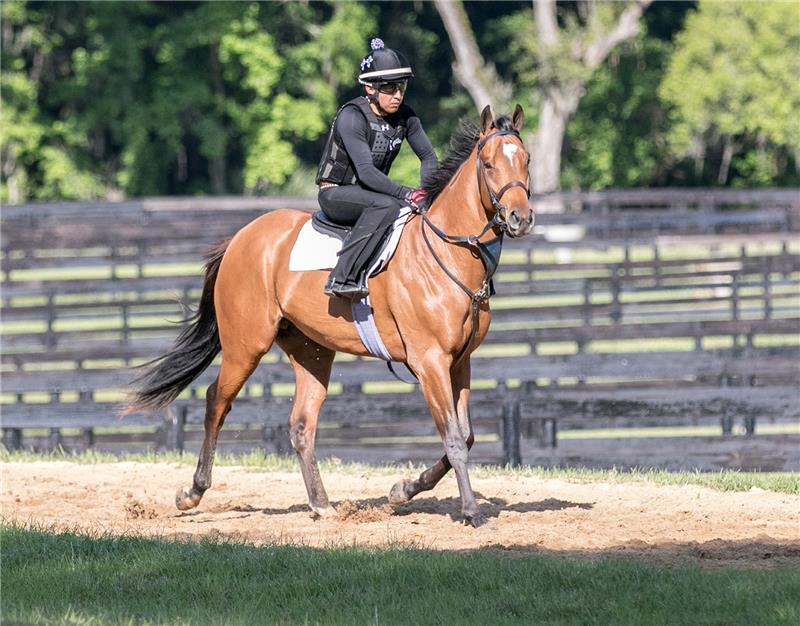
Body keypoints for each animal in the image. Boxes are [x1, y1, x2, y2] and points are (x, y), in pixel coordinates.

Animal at [125, 105, 536, 524]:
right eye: (488, 164)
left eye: (526, 160)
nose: (520, 218)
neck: (446, 252)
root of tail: (241, 237)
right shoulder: (430, 362)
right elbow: (454, 438)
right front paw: (469, 510)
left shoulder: (459, 362)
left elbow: (465, 436)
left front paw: (403, 489)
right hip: (246, 345)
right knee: (216, 402)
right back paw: (192, 492)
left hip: (312, 352)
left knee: (302, 424)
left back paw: (321, 503)